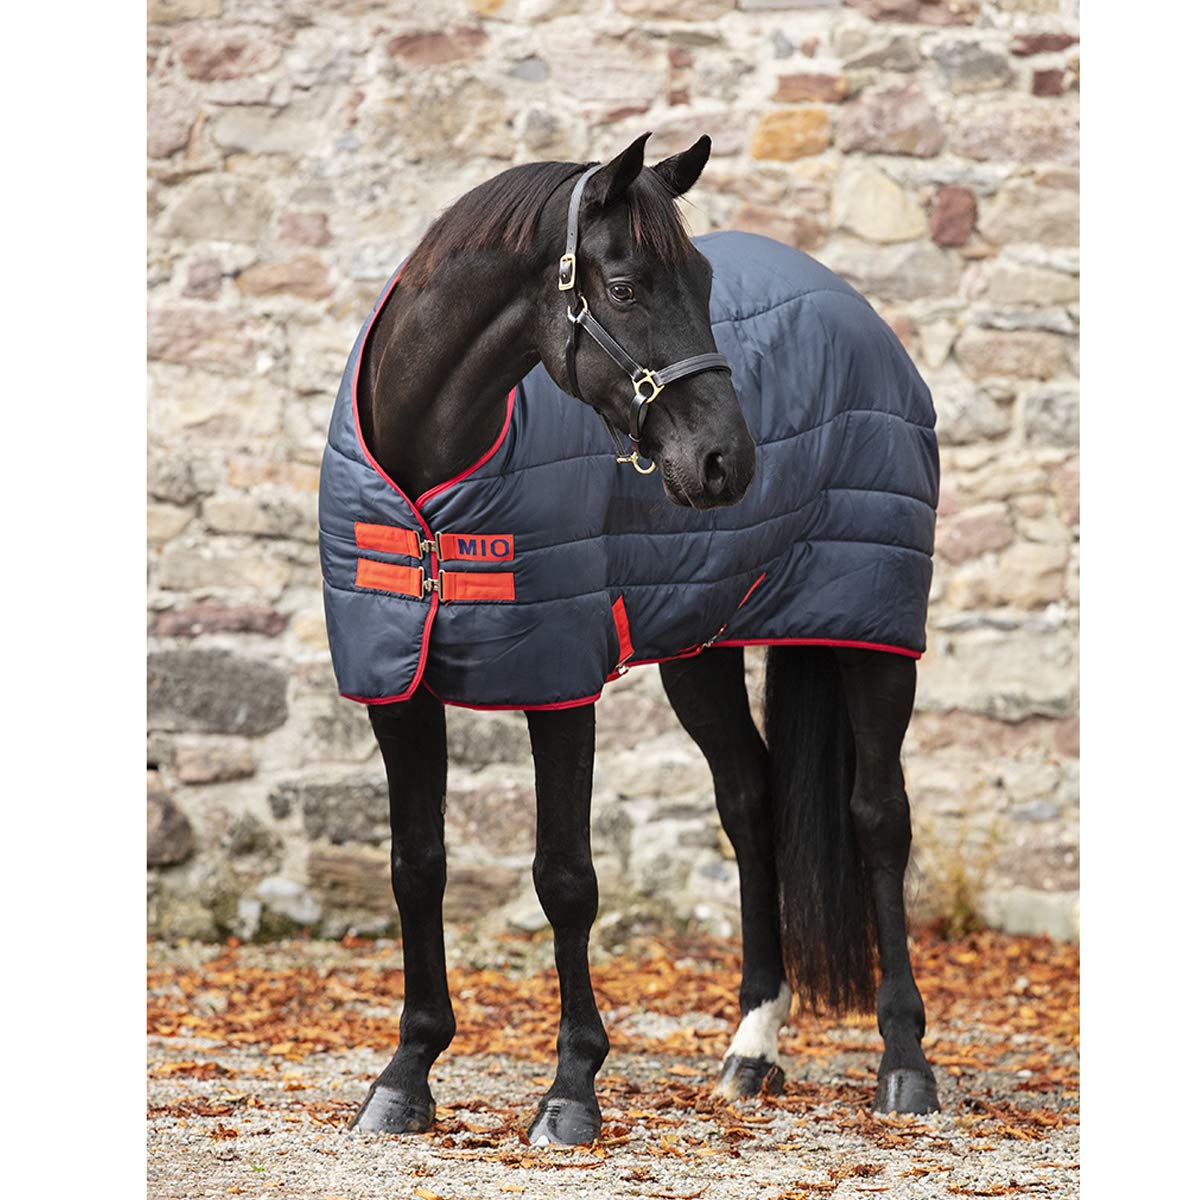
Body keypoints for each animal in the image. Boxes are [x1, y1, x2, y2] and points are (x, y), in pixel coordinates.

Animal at [318, 132, 940, 1147]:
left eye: (704, 279)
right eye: (623, 288)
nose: (729, 461)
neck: (432, 479)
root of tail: (857, 311)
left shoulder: (559, 678)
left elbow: (565, 877)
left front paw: (571, 1089)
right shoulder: (394, 688)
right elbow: (417, 867)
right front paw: (406, 1074)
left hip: (873, 631)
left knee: (879, 817)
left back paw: (906, 1063)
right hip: (701, 645)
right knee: (751, 802)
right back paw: (751, 1049)